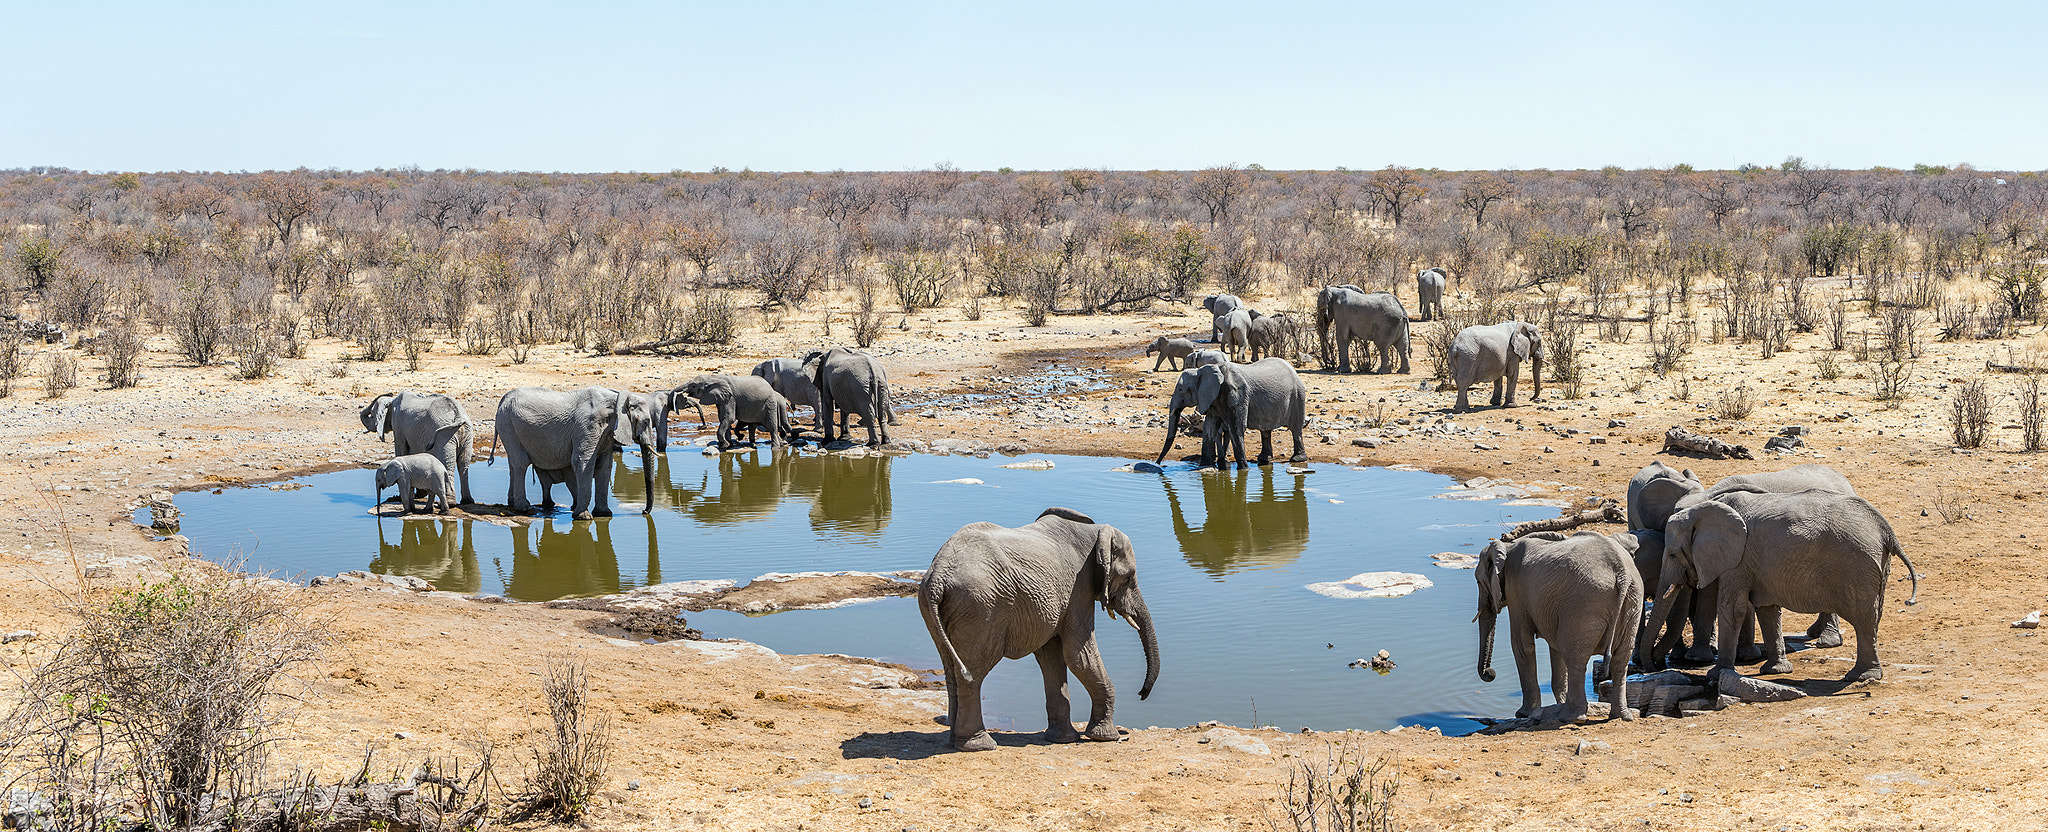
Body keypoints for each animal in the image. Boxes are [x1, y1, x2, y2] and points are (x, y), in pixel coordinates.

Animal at [487, 385, 655, 516]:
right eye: (646, 422)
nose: (643, 512)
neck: (617, 398)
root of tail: (503, 399)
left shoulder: (606, 434)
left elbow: (605, 466)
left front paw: (604, 514)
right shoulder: (587, 427)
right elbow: (583, 462)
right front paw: (583, 516)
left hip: (507, 424)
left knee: (513, 464)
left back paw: (512, 503)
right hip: (507, 423)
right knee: (521, 463)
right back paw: (523, 508)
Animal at [921, 506, 1163, 754]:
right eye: (1128, 578)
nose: (1141, 694)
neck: (1096, 532)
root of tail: (938, 575)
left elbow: (1052, 658)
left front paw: (1063, 739)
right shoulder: (1079, 588)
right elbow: (1079, 655)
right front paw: (1106, 737)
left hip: (940, 609)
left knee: (951, 668)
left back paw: (956, 741)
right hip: (980, 607)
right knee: (973, 671)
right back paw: (979, 744)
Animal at [1155, 358, 1310, 467]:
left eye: (1181, 389)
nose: (1159, 463)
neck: (1205, 370)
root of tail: (1293, 369)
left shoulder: (1237, 393)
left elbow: (1237, 427)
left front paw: (1243, 468)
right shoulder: (1212, 398)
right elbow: (1209, 428)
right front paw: (1205, 465)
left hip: (1298, 395)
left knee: (1296, 429)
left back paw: (1297, 459)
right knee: (1265, 430)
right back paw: (1263, 460)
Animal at [1474, 532, 1646, 721]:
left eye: (1478, 582)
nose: (1490, 672)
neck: (1508, 546)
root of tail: (1622, 572)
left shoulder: (1517, 593)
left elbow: (1522, 645)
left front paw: (1523, 714)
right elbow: (1554, 647)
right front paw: (1556, 703)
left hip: (1585, 604)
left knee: (1575, 658)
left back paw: (1571, 717)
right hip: (1633, 601)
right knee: (1620, 660)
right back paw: (1622, 716)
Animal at [1646, 487, 1916, 684]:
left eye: (1672, 554)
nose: (1654, 666)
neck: (1703, 509)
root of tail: (1885, 529)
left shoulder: (1738, 558)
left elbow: (1733, 608)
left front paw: (1717, 675)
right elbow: (1767, 609)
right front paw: (1776, 671)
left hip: (1858, 564)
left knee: (1863, 618)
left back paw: (1861, 677)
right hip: (1877, 564)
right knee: (1873, 617)